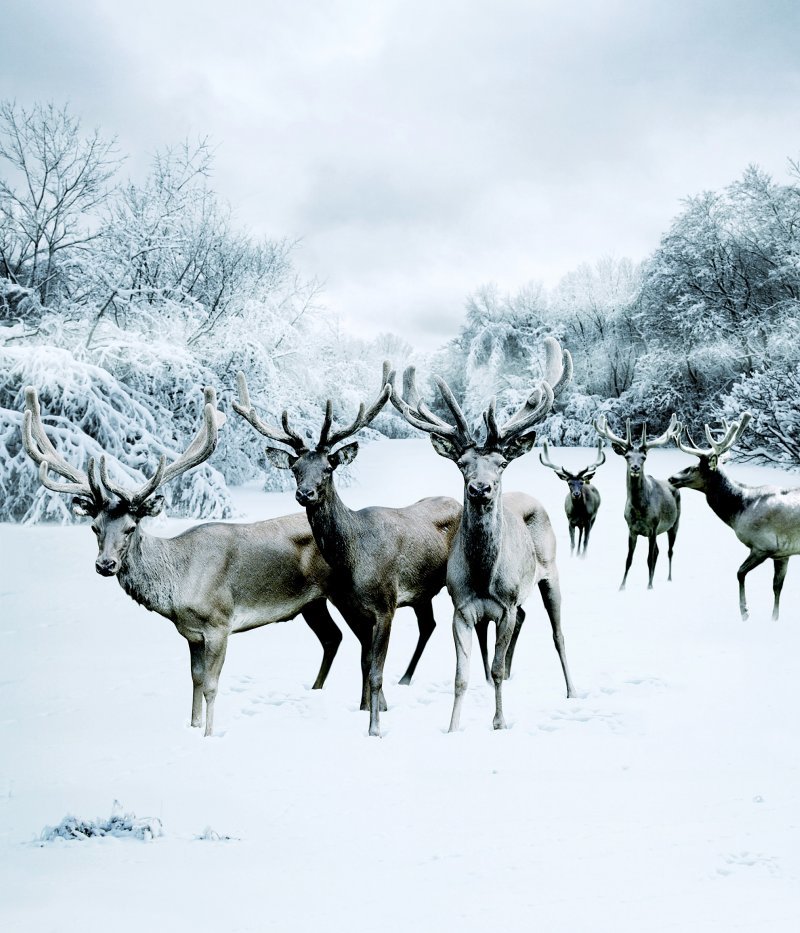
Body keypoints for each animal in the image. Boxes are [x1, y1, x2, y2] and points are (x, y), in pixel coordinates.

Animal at [21, 382, 344, 732]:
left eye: (131, 527)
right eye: (94, 527)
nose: (105, 564)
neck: (179, 586)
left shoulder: (219, 624)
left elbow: (212, 686)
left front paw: (209, 734)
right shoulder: (191, 633)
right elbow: (195, 680)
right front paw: (191, 726)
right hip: (313, 602)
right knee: (332, 638)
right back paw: (315, 690)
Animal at [231, 364, 462, 736]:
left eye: (328, 468)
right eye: (295, 469)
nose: (305, 493)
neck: (353, 561)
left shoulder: (385, 605)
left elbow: (376, 669)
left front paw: (375, 727)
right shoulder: (349, 605)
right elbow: (365, 661)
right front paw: (366, 707)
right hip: (421, 593)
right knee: (429, 625)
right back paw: (406, 679)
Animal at [388, 338, 576, 732]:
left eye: (501, 463)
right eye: (463, 464)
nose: (480, 488)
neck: (484, 576)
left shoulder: (505, 605)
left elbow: (498, 668)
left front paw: (499, 722)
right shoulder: (462, 608)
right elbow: (462, 675)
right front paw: (452, 727)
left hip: (551, 570)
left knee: (558, 633)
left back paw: (572, 691)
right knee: (524, 620)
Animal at [592, 416, 680, 588]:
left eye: (644, 458)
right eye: (627, 456)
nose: (635, 467)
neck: (639, 510)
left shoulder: (653, 527)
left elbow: (649, 559)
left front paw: (649, 586)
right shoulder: (631, 529)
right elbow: (628, 559)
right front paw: (622, 586)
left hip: (674, 523)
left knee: (670, 551)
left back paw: (669, 578)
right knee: (658, 551)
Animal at [664, 414, 800, 620]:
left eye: (695, 467)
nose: (671, 478)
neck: (739, 510)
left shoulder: (763, 545)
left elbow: (739, 573)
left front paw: (744, 611)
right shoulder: (782, 553)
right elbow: (777, 587)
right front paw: (774, 618)